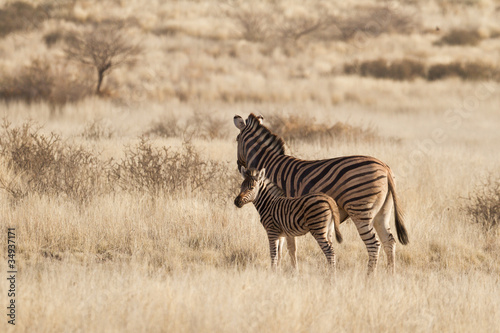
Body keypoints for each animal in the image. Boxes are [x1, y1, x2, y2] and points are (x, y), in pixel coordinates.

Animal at [232, 113, 408, 274]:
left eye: (236, 139)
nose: (240, 166)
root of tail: (385, 168)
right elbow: (285, 246)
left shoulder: (282, 210)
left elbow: (287, 247)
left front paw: (288, 271)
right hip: (382, 212)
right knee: (389, 241)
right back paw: (390, 275)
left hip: (361, 209)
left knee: (373, 244)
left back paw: (369, 277)